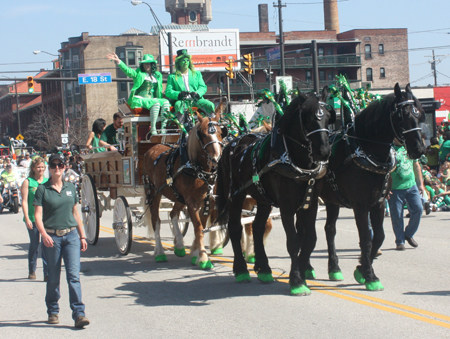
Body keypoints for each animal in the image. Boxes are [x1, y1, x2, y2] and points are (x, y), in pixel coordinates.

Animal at [143, 113, 225, 270]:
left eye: (221, 132)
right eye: (203, 135)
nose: (216, 158)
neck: (197, 169)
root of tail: (152, 148)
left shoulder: (208, 201)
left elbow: (202, 226)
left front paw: (195, 253)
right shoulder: (192, 203)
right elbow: (198, 228)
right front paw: (203, 258)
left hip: (178, 197)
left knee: (173, 213)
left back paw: (179, 245)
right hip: (154, 193)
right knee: (156, 220)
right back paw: (160, 252)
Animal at [216, 89, 336, 296]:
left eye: (328, 117)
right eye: (308, 118)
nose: (324, 151)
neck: (298, 162)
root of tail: (232, 143)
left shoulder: (309, 204)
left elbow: (309, 240)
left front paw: (303, 273)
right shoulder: (287, 207)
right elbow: (294, 242)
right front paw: (296, 281)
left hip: (263, 199)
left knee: (257, 227)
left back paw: (264, 268)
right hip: (236, 196)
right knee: (235, 228)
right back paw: (241, 270)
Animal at [316, 83, 426, 292]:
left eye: (419, 114)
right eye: (401, 116)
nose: (419, 149)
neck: (367, 151)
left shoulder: (379, 203)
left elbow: (379, 236)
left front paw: (361, 269)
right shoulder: (360, 206)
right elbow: (366, 237)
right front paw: (369, 276)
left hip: (332, 201)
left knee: (329, 229)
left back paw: (333, 268)